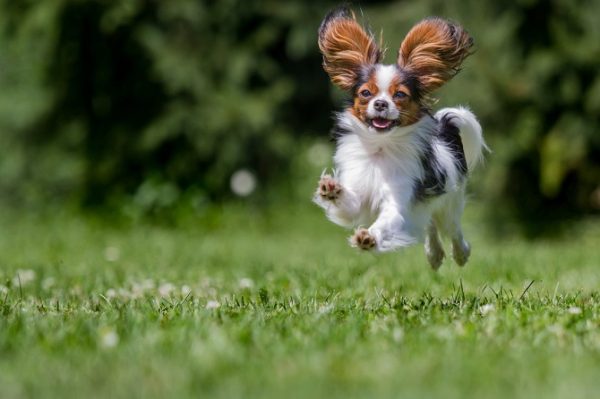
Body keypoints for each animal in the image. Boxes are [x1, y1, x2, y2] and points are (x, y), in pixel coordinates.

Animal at [314, 7, 488, 268]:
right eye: (366, 93)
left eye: (399, 95)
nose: (381, 103)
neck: (381, 147)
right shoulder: (358, 199)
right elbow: (349, 204)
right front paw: (332, 188)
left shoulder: (399, 202)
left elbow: (387, 222)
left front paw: (369, 238)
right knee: (429, 224)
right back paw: (434, 254)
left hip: (450, 203)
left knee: (452, 229)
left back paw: (460, 253)